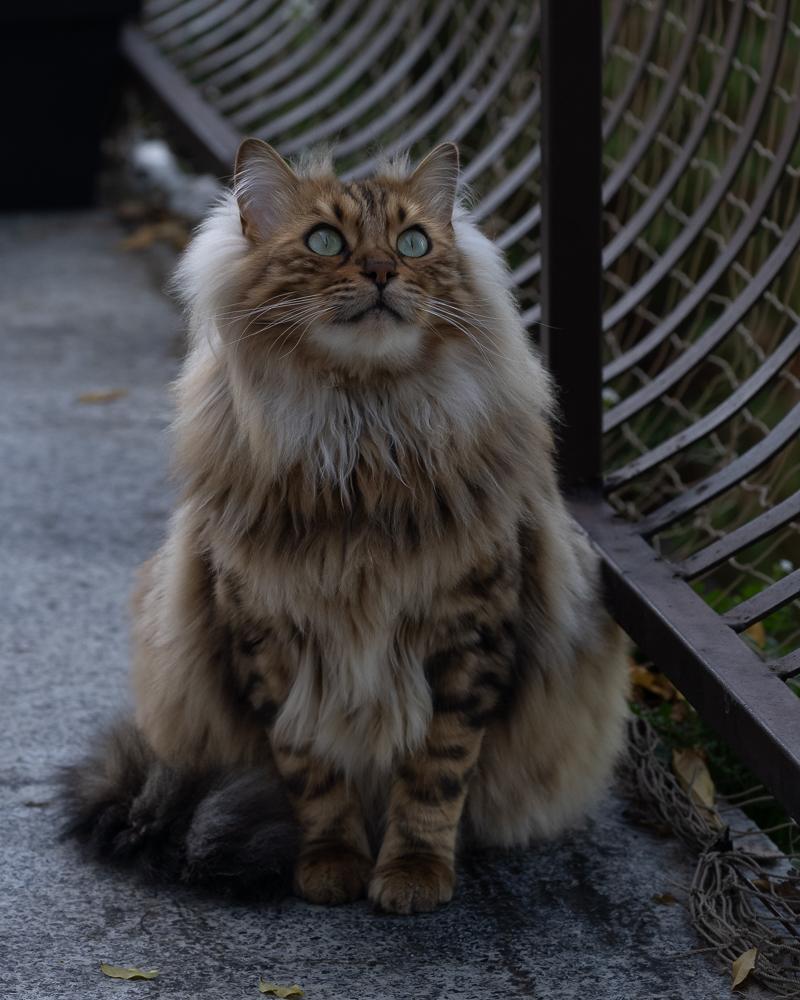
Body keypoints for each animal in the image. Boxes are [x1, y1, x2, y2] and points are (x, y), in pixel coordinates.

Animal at [62, 141, 628, 916]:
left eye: (414, 242)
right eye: (325, 241)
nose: (384, 270)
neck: (361, 436)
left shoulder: (469, 637)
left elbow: (435, 775)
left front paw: (415, 873)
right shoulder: (272, 641)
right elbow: (312, 776)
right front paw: (331, 865)